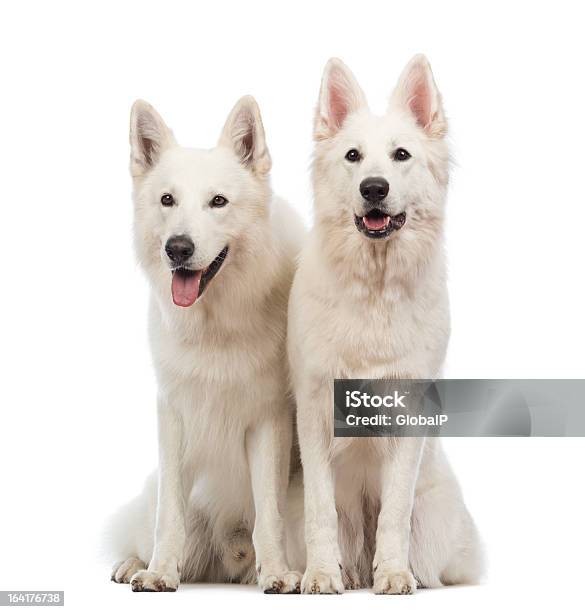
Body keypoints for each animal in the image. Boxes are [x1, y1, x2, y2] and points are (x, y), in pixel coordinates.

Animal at [106, 95, 304, 592]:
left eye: (218, 202)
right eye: (167, 200)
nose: (177, 248)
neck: (216, 326)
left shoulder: (268, 420)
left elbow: (269, 514)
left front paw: (277, 573)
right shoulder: (174, 416)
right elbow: (169, 515)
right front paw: (159, 573)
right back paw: (133, 563)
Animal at [288, 56, 484, 592]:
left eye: (401, 155)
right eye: (353, 156)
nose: (373, 188)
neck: (373, 290)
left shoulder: (407, 412)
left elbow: (394, 512)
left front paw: (394, 574)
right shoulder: (314, 413)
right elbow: (319, 512)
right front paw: (320, 576)